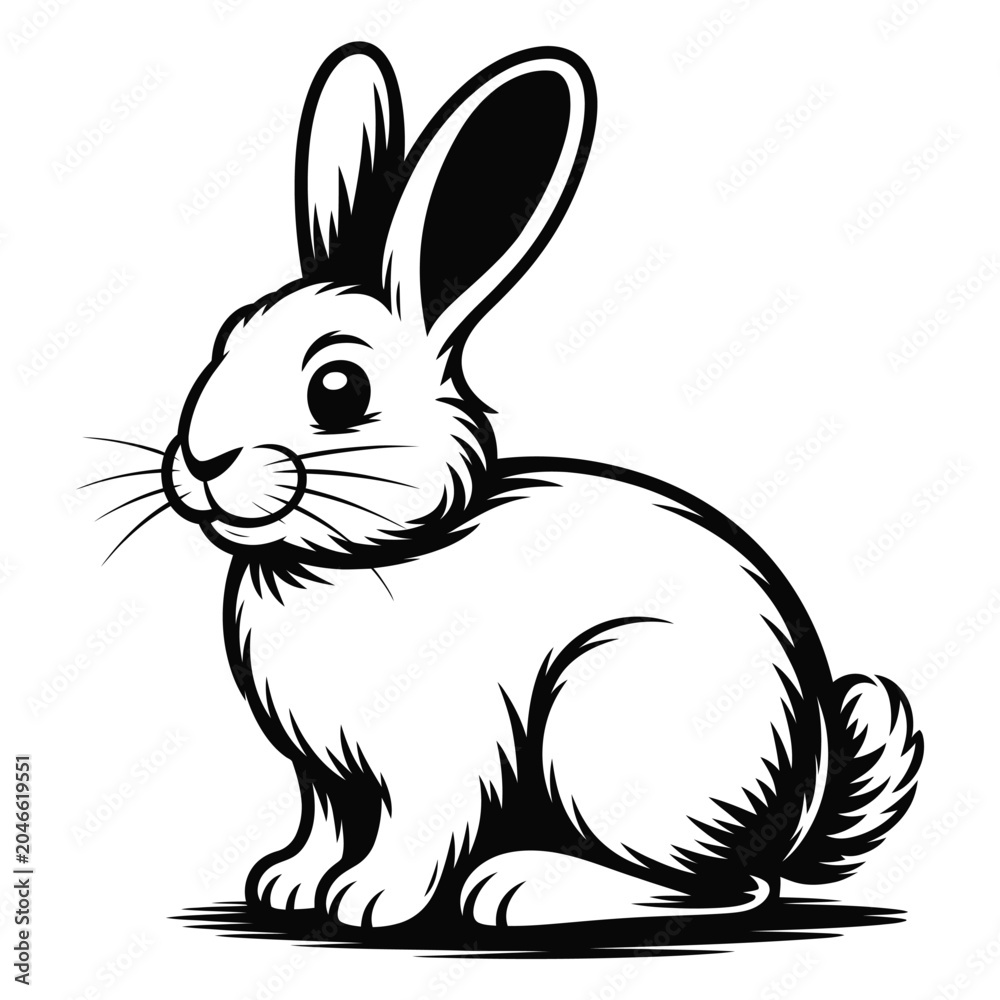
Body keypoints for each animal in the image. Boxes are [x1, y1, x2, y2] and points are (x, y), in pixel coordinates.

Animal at [146, 42, 922, 931]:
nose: (202, 461)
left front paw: (370, 902)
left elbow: (416, 830)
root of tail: (796, 806)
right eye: (226, 336)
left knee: (725, 890)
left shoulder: (441, 751)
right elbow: (329, 823)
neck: (371, 552)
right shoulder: (329, 774)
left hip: (605, 732)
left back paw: (518, 890)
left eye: (337, 388)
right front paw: (290, 884)